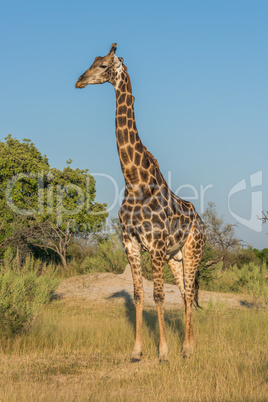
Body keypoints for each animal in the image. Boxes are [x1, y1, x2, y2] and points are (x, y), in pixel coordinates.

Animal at [75, 44, 205, 362]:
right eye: (93, 61)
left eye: (104, 65)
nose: (79, 81)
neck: (134, 180)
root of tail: (203, 224)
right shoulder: (131, 243)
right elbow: (139, 295)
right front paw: (136, 351)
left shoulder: (155, 245)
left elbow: (158, 295)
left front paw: (163, 352)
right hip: (175, 257)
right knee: (185, 295)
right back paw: (187, 347)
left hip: (192, 251)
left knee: (189, 294)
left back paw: (188, 349)